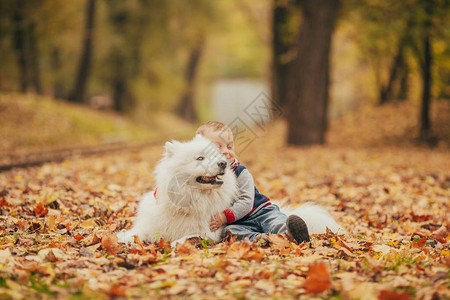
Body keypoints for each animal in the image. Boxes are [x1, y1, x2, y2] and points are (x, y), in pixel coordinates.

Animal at [117, 135, 342, 245]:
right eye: (200, 157)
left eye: (217, 156)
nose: (223, 163)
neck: (189, 201)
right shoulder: (149, 225)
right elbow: (134, 234)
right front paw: (124, 240)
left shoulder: (208, 232)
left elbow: (187, 237)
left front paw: (180, 243)